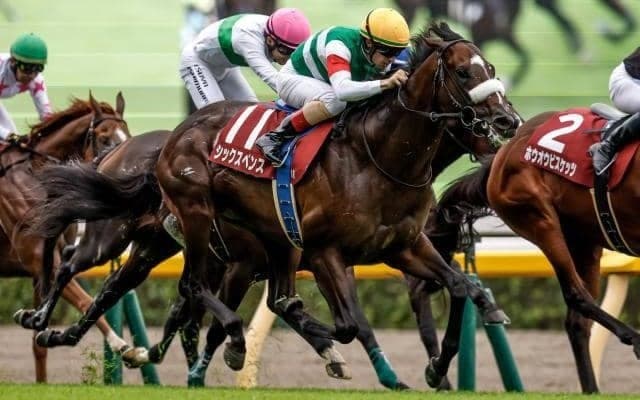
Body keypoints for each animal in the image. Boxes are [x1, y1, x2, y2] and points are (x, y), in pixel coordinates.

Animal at [0, 93, 138, 382]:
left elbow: (38, 343)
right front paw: (124, 347)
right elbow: (86, 300)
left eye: (128, 134)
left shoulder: (42, 268)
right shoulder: (41, 259)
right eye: (104, 137)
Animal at [431, 106, 640, 393]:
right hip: (539, 218)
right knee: (577, 296)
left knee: (577, 322)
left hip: (585, 241)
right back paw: (634, 340)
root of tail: (503, 153)